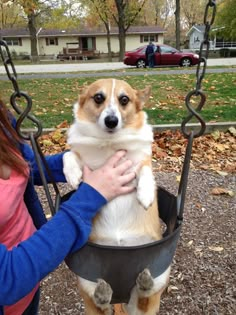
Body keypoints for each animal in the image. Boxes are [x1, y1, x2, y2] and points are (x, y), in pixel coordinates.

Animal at [62, 78, 170, 314]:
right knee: (103, 306)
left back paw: (144, 284)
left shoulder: (142, 160)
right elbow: (68, 154)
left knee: (142, 302)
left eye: (124, 100)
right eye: (98, 98)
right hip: (87, 278)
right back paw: (103, 295)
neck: (110, 145)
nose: (111, 121)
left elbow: (145, 170)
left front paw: (146, 194)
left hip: (161, 272)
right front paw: (72, 174)